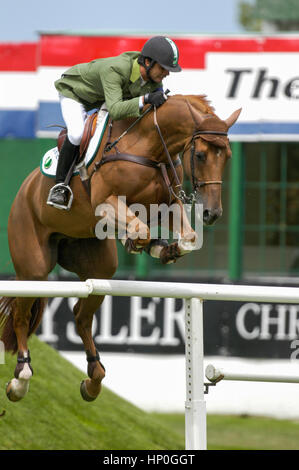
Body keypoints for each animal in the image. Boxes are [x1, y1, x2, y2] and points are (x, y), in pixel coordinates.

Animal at [0, 93, 241, 402]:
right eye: (200, 155)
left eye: (228, 157)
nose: (212, 213)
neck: (150, 147)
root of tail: (24, 190)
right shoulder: (106, 203)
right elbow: (141, 228)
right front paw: (142, 242)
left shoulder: (167, 203)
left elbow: (185, 238)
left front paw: (161, 248)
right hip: (34, 266)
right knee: (21, 315)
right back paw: (21, 377)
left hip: (100, 267)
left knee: (81, 316)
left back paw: (93, 378)